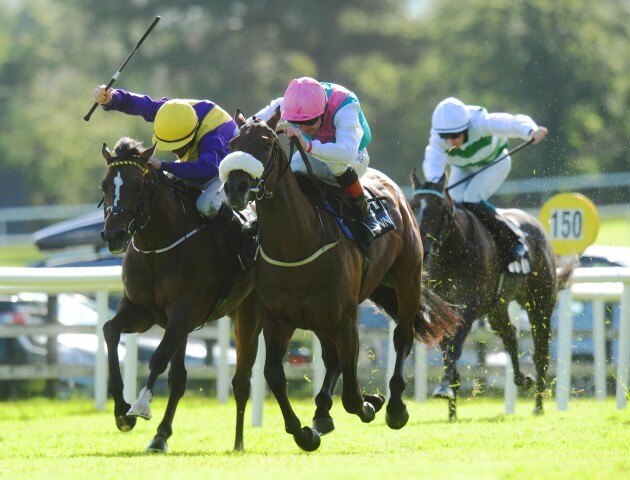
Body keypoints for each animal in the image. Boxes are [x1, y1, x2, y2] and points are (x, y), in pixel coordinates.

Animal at [99, 136, 262, 454]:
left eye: (138, 185)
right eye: (105, 185)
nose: (114, 236)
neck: (156, 247)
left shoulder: (183, 311)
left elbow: (158, 358)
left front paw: (140, 405)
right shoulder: (140, 310)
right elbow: (110, 331)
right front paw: (121, 411)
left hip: (249, 313)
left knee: (242, 380)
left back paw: (238, 442)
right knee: (181, 378)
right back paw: (161, 436)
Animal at [220, 110, 462, 452]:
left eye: (266, 144)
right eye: (232, 145)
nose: (235, 188)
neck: (298, 243)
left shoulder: (345, 319)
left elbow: (351, 394)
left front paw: (371, 403)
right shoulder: (278, 319)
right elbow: (275, 375)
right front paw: (303, 433)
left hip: (407, 280)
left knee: (402, 336)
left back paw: (395, 405)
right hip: (320, 318)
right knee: (331, 359)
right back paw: (322, 413)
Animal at [410, 171, 572, 418]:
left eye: (438, 209)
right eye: (412, 206)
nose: (422, 248)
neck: (453, 253)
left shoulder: (469, 307)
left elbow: (455, 345)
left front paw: (446, 385)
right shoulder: (443, 309)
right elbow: (446, 346)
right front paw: (452, 397)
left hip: (539, 302)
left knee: (541, 352)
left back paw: (538, 406)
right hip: (497, 309)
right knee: (510, 336)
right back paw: (522, 379)